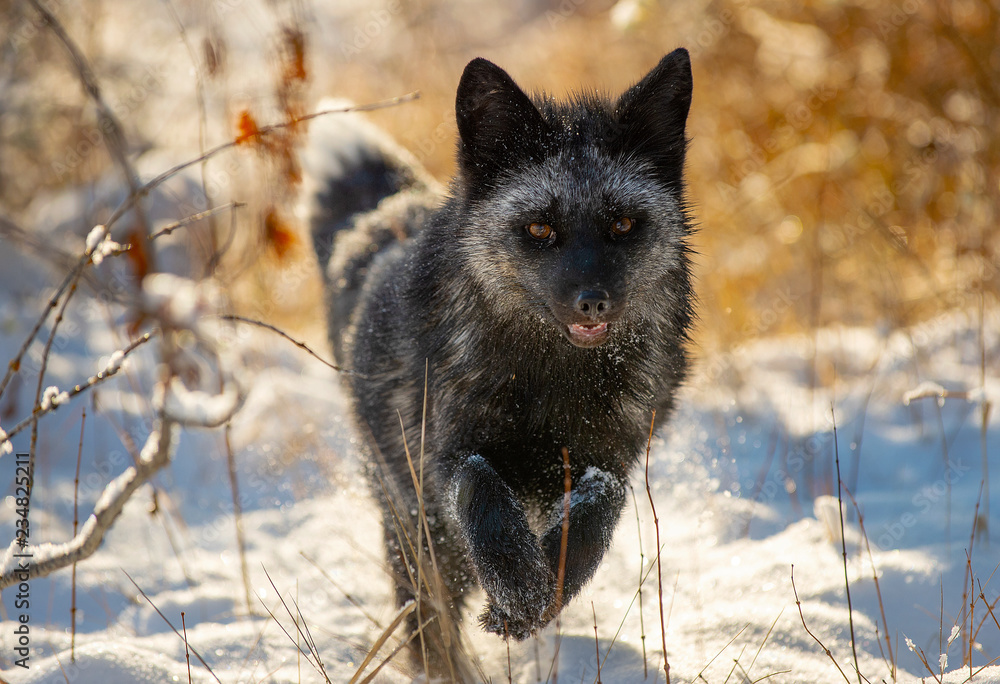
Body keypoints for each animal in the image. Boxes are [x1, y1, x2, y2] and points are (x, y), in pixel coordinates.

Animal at [306, 48, 694, 675]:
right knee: (425, 606)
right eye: (540, 227)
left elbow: (598, 506)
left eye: (622, 223)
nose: (592, 301)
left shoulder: (611, 454)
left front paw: (545, 592)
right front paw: (519, 593)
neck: (551, 382)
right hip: (414, 517)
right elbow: (479, 487)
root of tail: (385, 218)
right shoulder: (447, 450)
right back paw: (440, 668)